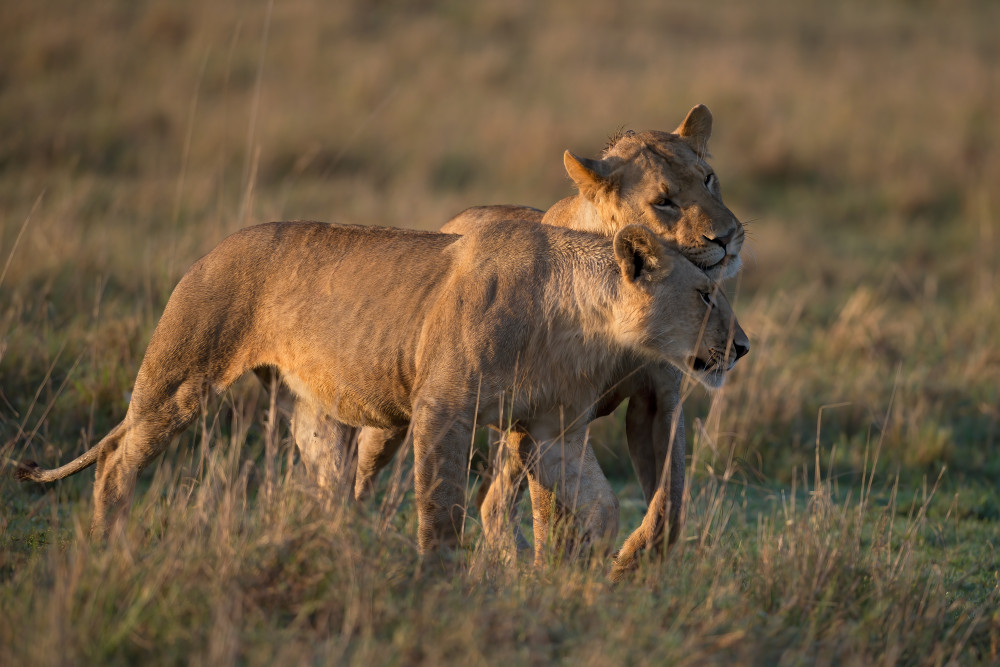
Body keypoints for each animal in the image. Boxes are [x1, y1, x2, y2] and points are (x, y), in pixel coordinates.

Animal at [17, 218, 752, 560]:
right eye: (706, 294)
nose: (743, 346)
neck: (581, 320)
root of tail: (213, 247)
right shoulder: (442, 411)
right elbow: (443, 511)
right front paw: (440, 588)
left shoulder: (552, 434)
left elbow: (599, 507)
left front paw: (590, 578)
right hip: (180, 379)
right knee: (116, 461)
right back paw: (107, 546)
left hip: (314, 415)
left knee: (330, 492)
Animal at [348, 104, 748, 576]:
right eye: (662, 201)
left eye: (708, 179)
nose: (727, 237)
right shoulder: (552, 408)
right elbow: (555, 512)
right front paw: (558, 568)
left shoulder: (659, 396)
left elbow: (670, 500)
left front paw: (630, 564)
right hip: (400, 408)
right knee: (370, 459)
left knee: (494, 500)